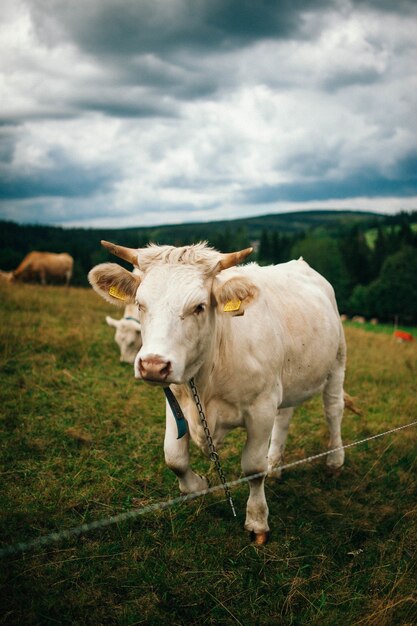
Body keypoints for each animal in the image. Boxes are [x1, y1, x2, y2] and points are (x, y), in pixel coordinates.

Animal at [90, 241, 348, 544]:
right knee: (284, 418)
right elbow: (174, 458)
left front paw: (257, 521)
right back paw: (276, 464)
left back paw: (334, 461)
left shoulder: (261, 408)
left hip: (337, 362)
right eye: (141, 304)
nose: (153, 365)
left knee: (333, 410)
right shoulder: (176, 401)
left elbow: (253, 468)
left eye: (199, 307)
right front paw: (199, 485)